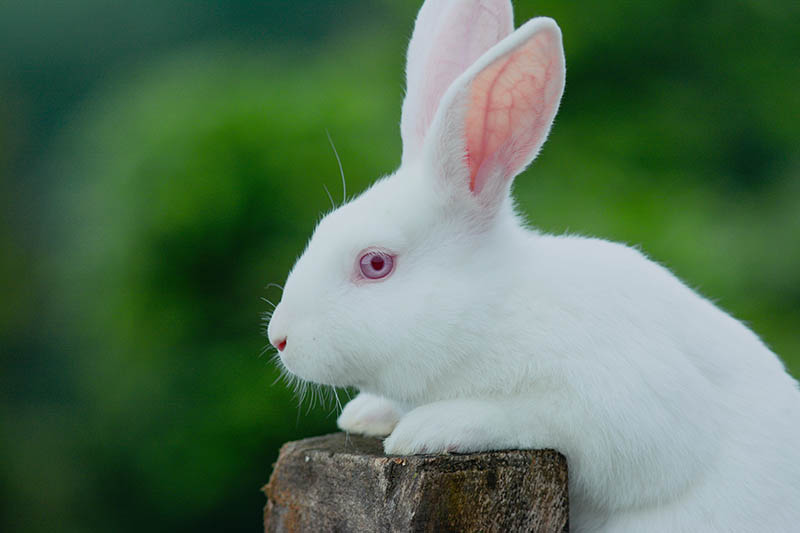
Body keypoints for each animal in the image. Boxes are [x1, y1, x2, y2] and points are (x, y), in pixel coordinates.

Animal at [267, 0, 800, 531]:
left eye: (375, 263)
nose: (279, 338)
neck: (492, 310)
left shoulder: (622, 406)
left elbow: (527, 417)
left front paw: (428, 429)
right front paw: (365, 415)